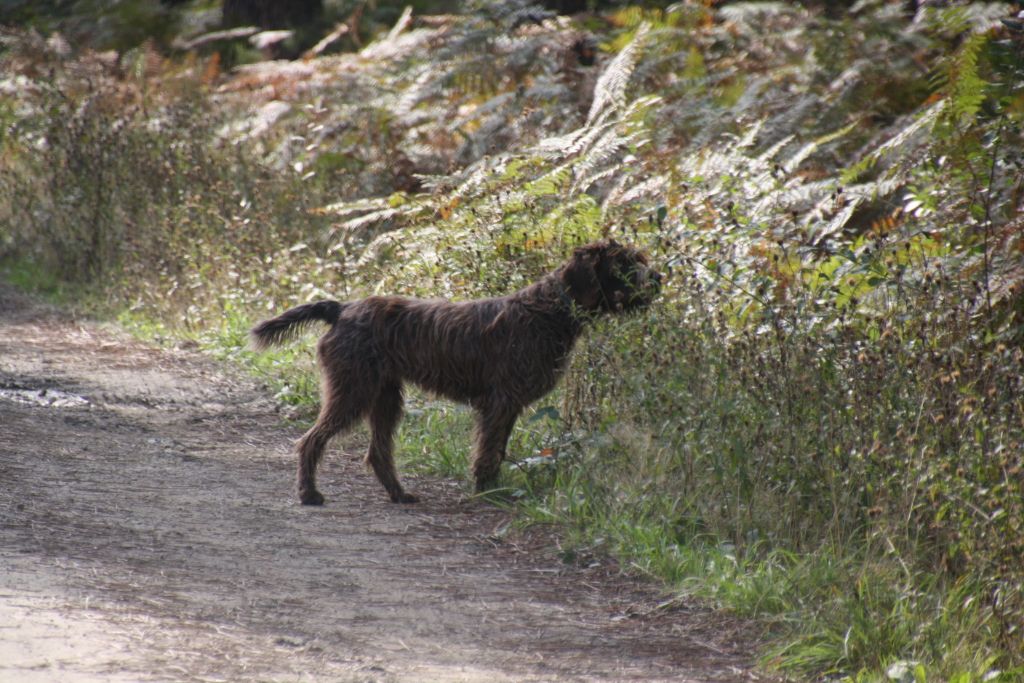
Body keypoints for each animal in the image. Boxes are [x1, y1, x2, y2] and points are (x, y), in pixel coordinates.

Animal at [251, 237, 659, 505]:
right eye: (623, 264)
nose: (656, 278)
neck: (548, 311)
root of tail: (343, 308)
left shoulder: (506, 406)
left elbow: (497, 450)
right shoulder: (501, 402)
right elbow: (489, 453)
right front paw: (489, 494)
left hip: (385, 397)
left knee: (378, 452)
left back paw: (399, 494)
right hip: (353, 391)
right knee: (311, 440)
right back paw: (309, 494)